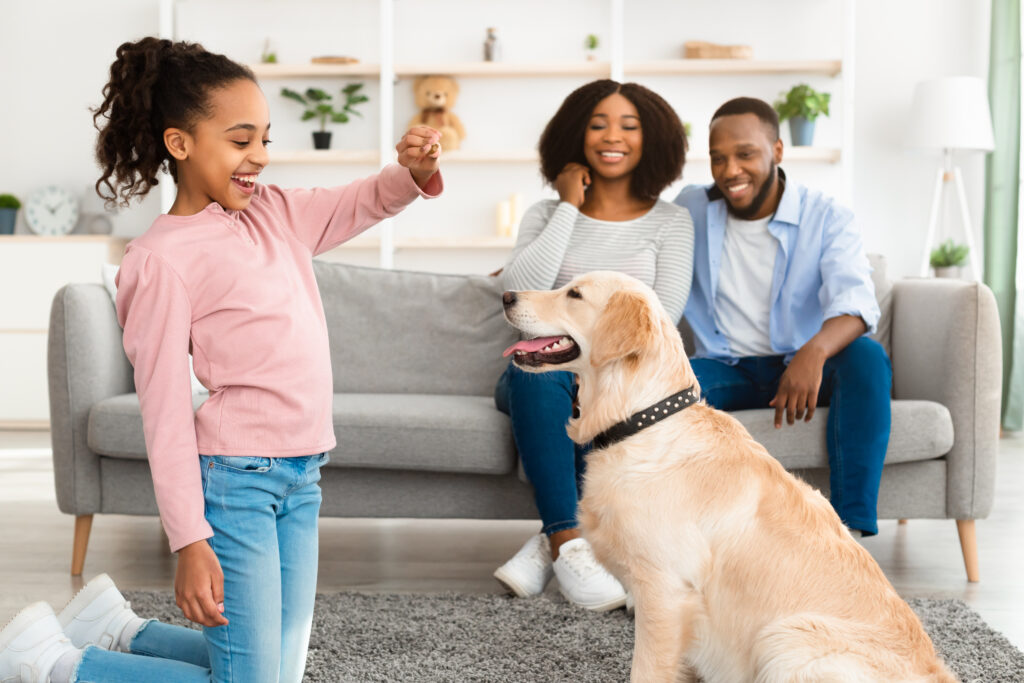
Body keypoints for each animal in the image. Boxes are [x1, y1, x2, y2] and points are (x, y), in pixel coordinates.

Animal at [499, 270, 954, 679]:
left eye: (574, 294)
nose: (506, 295)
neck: (642, 420)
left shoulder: (665, 593)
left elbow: (646, 671)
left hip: (784, 636)